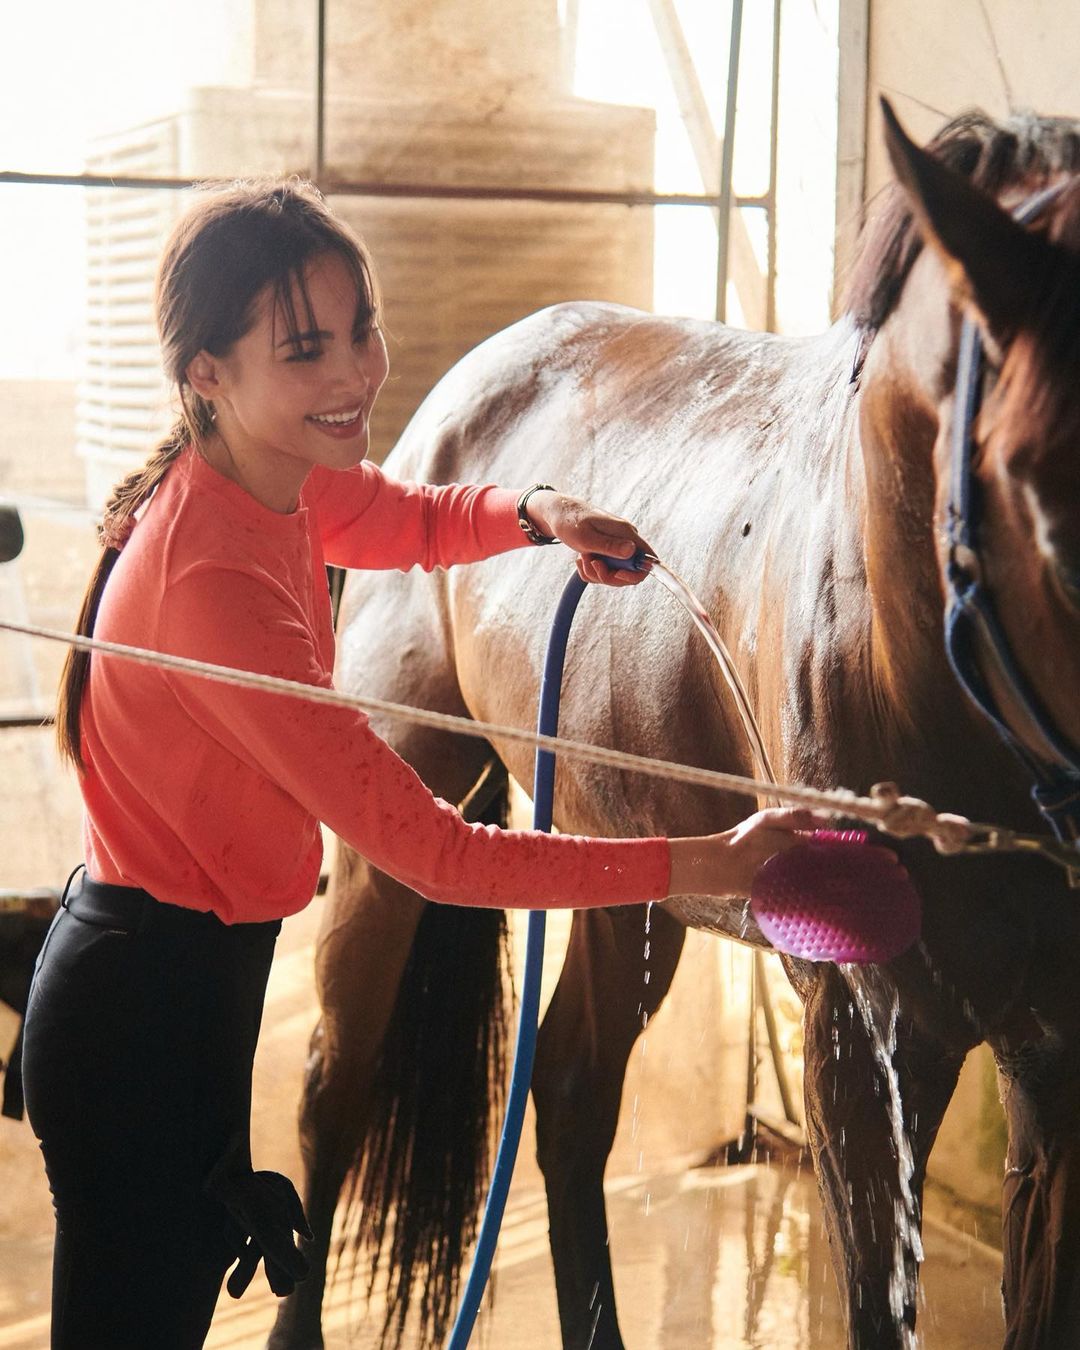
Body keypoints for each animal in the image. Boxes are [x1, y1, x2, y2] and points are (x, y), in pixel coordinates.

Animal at [267, 108, 1080, 1350]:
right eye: (1040, 491)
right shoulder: (866, 1041)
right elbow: (870, 1305)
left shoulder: (1054, 1061)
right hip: (392, 823)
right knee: (334, 1086)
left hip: (623, 870)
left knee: (570, 1094)